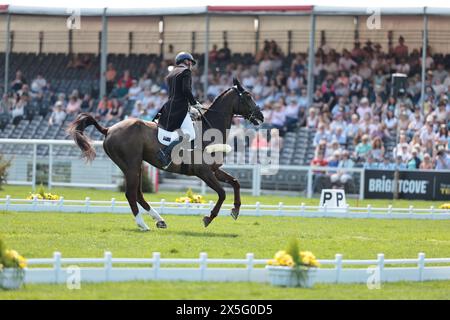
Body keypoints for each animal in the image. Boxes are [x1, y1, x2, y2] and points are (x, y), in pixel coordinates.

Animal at [67, 77, 264, 230]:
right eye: (248, 97)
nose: (261, 116)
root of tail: (109, 129)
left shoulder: (214, 170)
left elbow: (236, 182)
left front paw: (235, 210)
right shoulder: (204, 172)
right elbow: (222, 193)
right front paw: (209, 218)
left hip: (136, 165)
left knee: (138, 194)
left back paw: (159, 220)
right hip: (131, 165)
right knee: (131, 194)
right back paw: (143, 225)